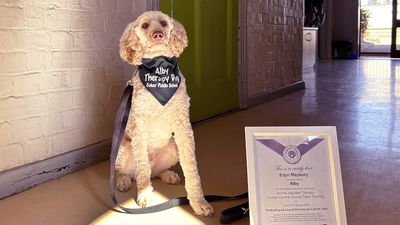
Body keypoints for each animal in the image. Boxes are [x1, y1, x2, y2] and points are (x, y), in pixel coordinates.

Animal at [114, 11, 214, 216]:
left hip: (172, 147)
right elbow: (143, 170)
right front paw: (144, 194)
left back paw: (167, 175)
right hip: (124, 147)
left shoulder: (183, 127)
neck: (159, 70)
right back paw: (123, 181)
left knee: (154, 172)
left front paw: (199, 202)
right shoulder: (139, 128)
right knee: (132, 172)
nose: (158, 34)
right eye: (145, 25)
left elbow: (192, 169)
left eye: (163, 23)